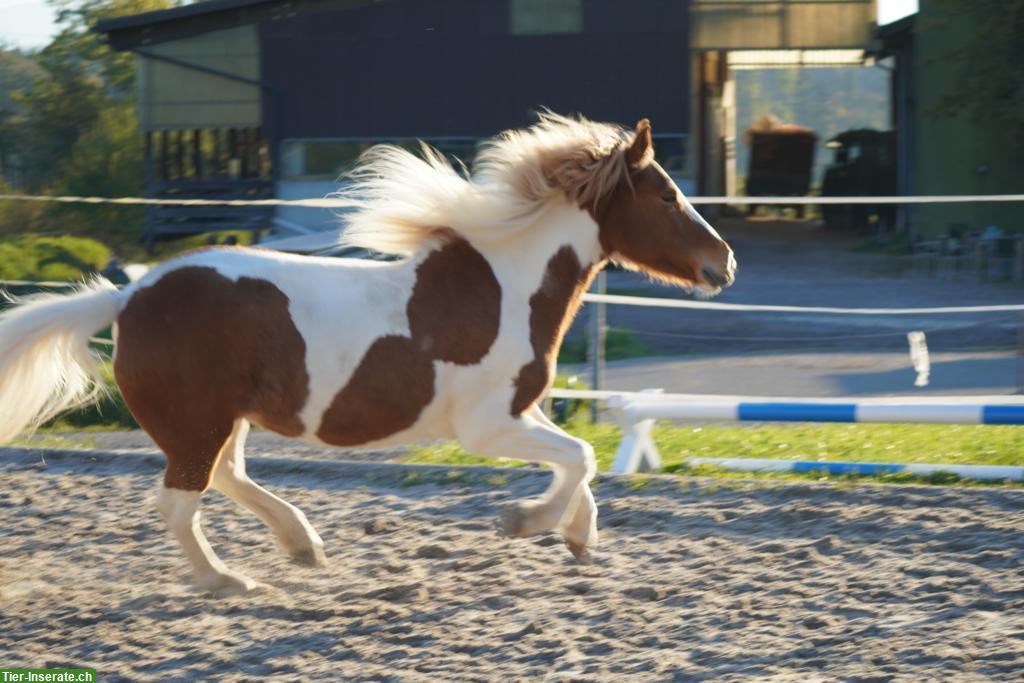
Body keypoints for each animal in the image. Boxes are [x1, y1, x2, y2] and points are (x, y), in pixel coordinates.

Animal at [0, 112, 737, 593]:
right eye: (667, 194)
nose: (724, 262)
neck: (505, 284)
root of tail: (129, 297)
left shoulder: (519, 412)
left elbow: (577, 461)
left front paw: (578, 538)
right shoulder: (486, 426)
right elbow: (579, 456)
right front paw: (525, 521)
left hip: (221, 421)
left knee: (228, 477)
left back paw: (302, 544)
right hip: (195, 425)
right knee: (181, 504)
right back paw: (229, 580)